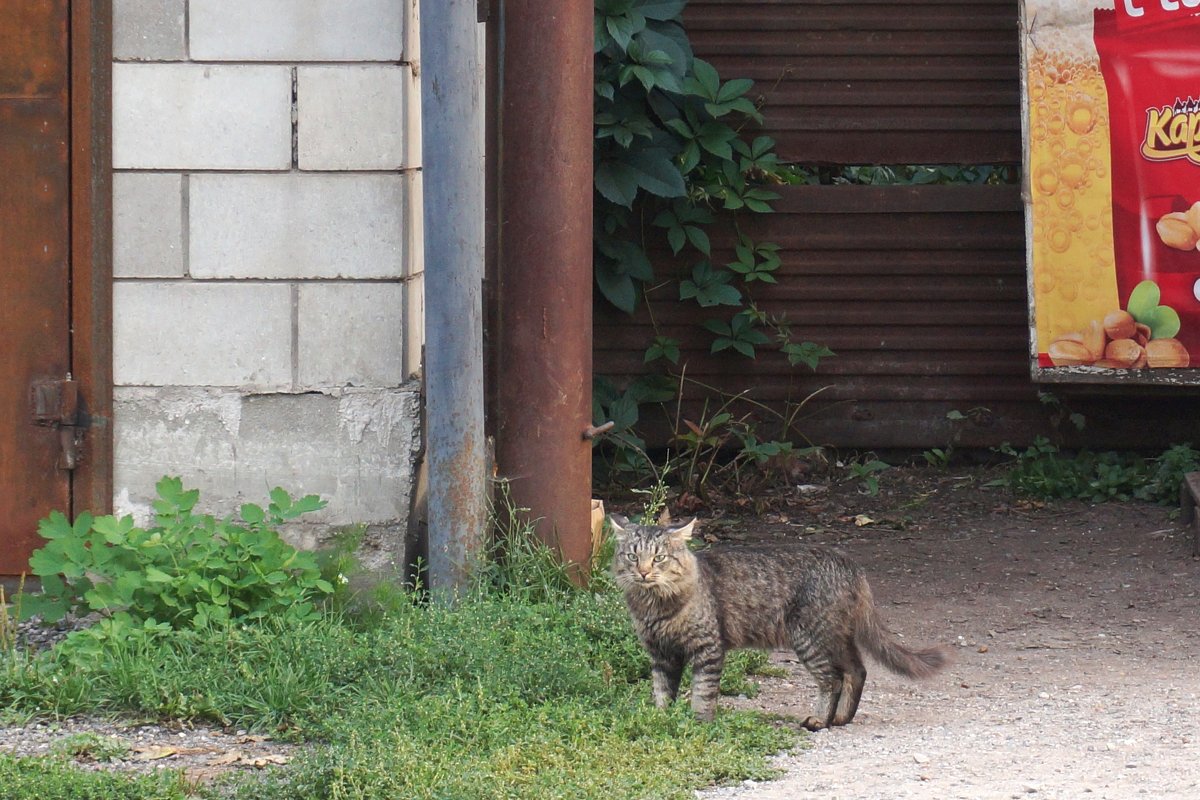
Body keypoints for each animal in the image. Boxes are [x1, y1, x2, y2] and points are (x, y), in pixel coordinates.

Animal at [609, 515, 945, 729]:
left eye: (659, 558)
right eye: (632, 557)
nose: (643, 572)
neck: (655, 606)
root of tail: (849, 563)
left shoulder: (707, 649)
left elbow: (703, 694)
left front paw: (697, 725)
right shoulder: (662, 654)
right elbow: (662, 692)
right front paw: (661, 720)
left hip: (810, 637)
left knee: (832, 679)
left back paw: (820, 721)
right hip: (834, 637)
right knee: (857, 670)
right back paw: (841, 719)